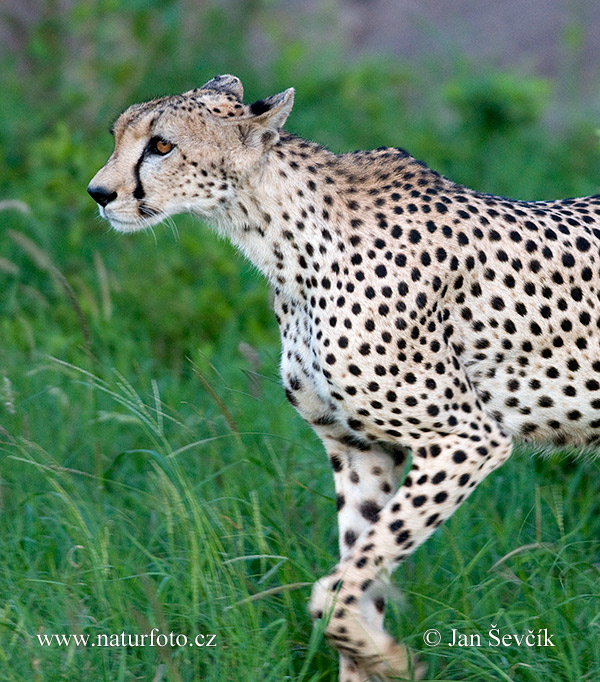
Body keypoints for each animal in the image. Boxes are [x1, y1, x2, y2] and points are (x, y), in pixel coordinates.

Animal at [89, 74, 600, 680]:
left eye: (162, 145)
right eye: (118, 135)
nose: (99, 193)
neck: (281, 237)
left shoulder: (467, 439)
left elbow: (334, 591)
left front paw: (388, 657)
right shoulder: (361, 449)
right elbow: (359, 572)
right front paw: (367, 654)